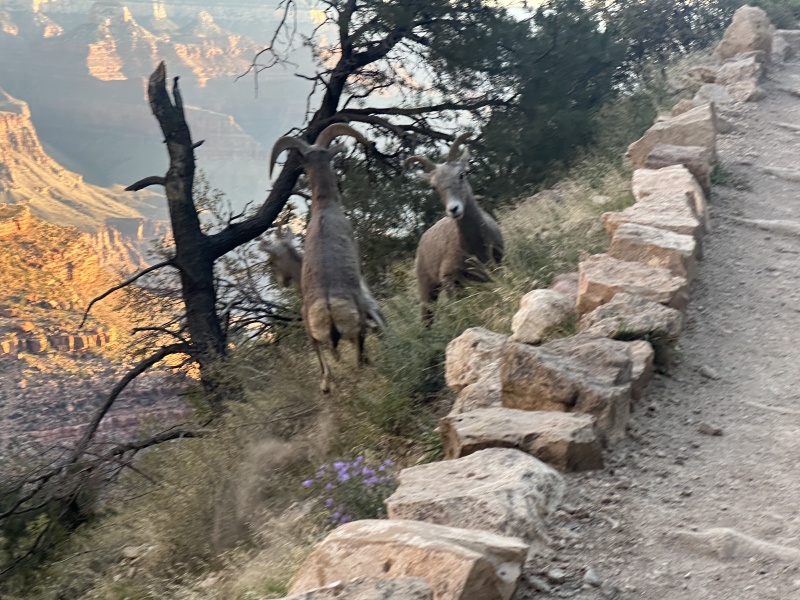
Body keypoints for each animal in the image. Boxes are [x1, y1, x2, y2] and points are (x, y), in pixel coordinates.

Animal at [270, 123, 384, 392]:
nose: (280, 281)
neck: (324, 208)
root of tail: (330, 310)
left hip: (318, 332)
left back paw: (326, 386)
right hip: (357, 331)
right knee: (359, 360)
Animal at [406, 134, 504, 323]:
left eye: (461, 174)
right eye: (433, 186)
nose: (454, 209)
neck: (475, 246)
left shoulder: (495, 268)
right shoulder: (450, 280)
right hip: (428, 289)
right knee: (427, 318)